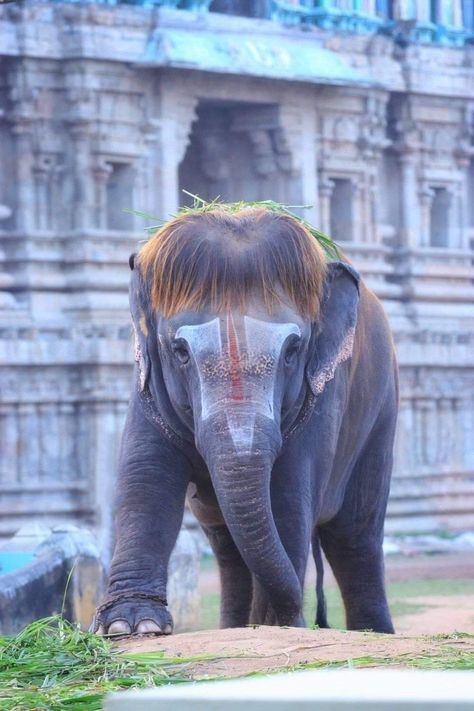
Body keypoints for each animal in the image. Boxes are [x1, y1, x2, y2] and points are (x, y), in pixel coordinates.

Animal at [92, 209, 396, 636]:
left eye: (293, 350)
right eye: (180, 351)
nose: (304, 617)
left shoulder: (322, 396)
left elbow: (287, 494)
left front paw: (276, 626)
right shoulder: (146, 382)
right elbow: (145, 475)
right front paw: (131, 627)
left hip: (382, 412)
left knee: (355, 535)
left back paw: (369, 631)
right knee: (225, 544)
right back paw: (235, 625)